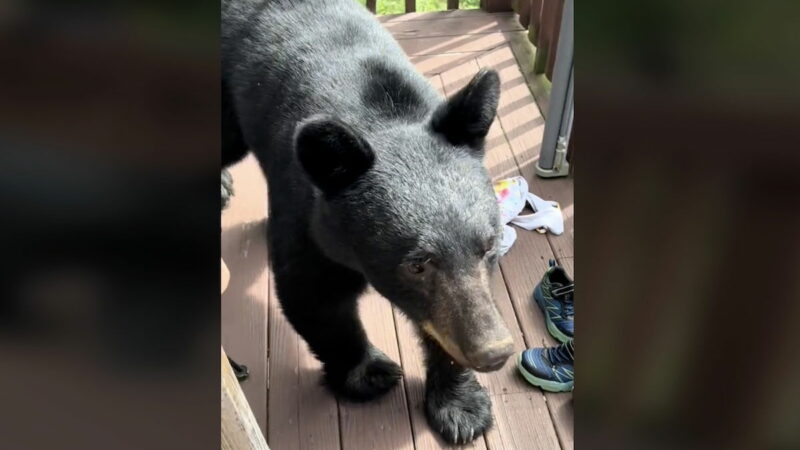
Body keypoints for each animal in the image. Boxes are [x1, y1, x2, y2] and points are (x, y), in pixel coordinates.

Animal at [222, 0, 516, 442]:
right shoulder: (306, 216)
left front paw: (462, 406)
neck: (381, 111)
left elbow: (443, 319)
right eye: (417, 264)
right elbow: (314, 296)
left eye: (489, 246)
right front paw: (369, 374)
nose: (495, 352)